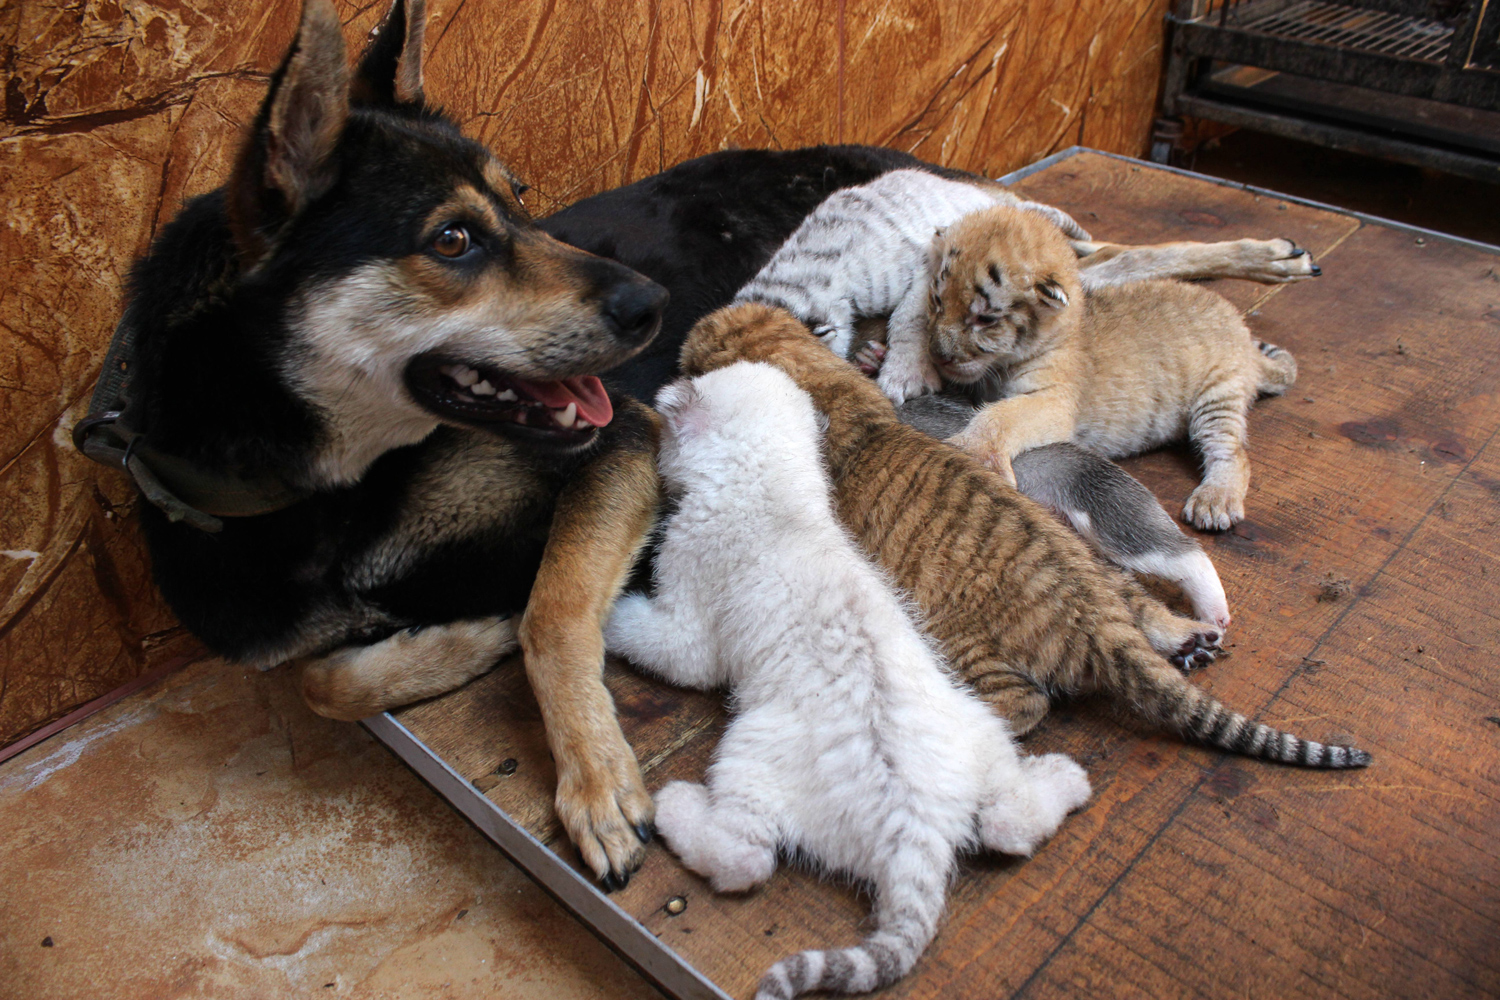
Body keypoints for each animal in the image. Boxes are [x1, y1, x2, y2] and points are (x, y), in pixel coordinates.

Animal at [105, 0, 1320, 893]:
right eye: (452, 240)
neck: (341, 494)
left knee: (1112, 254)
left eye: (523, 202)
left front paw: (592, 778)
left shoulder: (617, 450)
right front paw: (448, 649)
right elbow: (323, 681)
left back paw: (1261, 270)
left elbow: (552, 613)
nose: (649, 312)